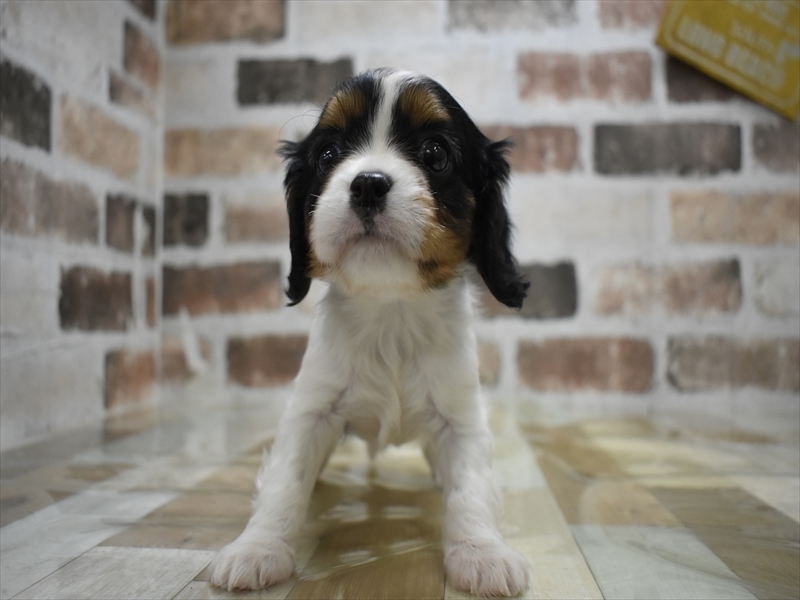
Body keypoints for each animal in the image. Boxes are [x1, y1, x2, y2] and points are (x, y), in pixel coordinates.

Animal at [209, 68, 530, 597]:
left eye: (435, 153)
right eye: (329, 154)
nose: (368, 184)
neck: (390, 310)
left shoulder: (460, 417)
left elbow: (470, 485)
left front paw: (481, 553)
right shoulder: (312, 409)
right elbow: (285, 478)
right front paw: (258, 549)